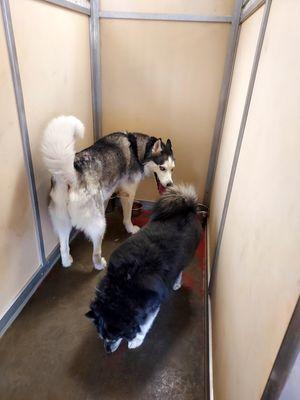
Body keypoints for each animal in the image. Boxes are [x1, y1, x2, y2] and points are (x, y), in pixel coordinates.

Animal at [41, 117, 175, 270]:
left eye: (172, 169)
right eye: (162, 168)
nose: (170, 184)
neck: (136, 150)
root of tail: (72, 173)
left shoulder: (107, 193)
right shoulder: (128, 192)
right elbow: (127, 216)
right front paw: (130, 228)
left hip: (62, 220)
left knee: (63, 246)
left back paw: (67, 261)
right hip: (98, 225)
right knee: (95, 253)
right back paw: (100, 264)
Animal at [85, 184, 202, 354]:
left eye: (113, 338)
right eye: (101, 337)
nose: (107, 351)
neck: (121, 286)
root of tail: (187, 208)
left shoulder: (152, 305)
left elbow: (144, 325)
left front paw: (136, 340)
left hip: (185, 257)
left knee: (180, 270)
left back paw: (176, 283)